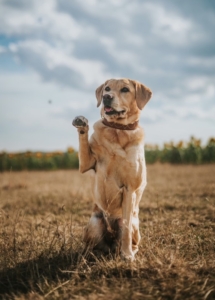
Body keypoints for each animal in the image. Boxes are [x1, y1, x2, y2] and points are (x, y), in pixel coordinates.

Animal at [73, 78, 152, 258]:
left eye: (125, 89)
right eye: (107, 88)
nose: (106, 97)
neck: (118, 130)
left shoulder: (130, 188)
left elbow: (127, 231)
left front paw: (127, 255)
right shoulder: (86, 163)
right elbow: (83, 143)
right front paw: (82, 123)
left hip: (128, 223)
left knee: (130, 237)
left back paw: (130, 251)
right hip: (94, 223)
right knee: (94, 246)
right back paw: (88, 254)